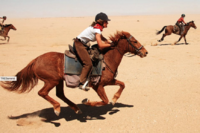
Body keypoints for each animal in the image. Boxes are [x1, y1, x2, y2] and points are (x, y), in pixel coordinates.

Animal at [0, 30, 148, 116]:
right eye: (134, 41)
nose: (145, 52)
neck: (106, 59)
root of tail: (36, 60)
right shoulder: (98, 86)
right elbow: (104, 101)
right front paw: (88, 102)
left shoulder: (109, 81)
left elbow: (122, 85)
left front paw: (115, 99)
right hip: (51, 80)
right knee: (42, 93)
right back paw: (57, 108)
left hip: (58, 81)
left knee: (60, 94)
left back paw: (76, 108)